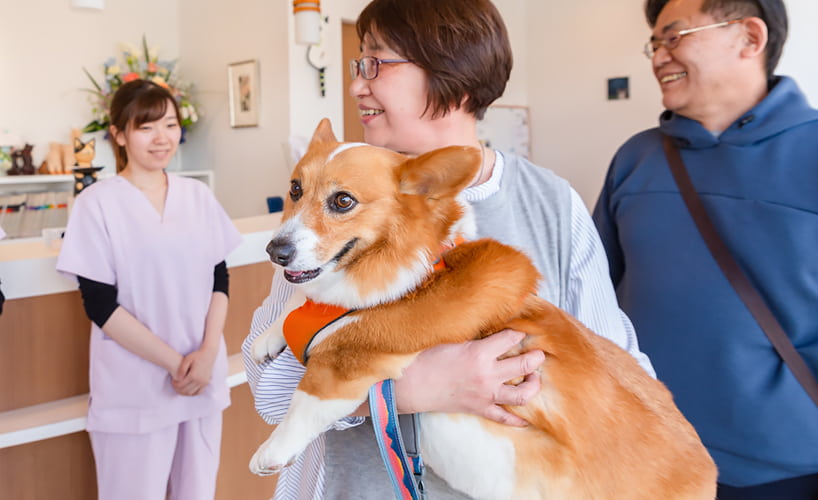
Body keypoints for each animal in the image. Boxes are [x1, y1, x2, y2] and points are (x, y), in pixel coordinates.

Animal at [249, 119, 712, 498]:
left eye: (343, 201)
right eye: (295, 189)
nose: (274, 251)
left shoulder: (353, 361)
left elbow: (307, 397)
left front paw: (271, 451)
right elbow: (295, 304)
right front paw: (269, 337)